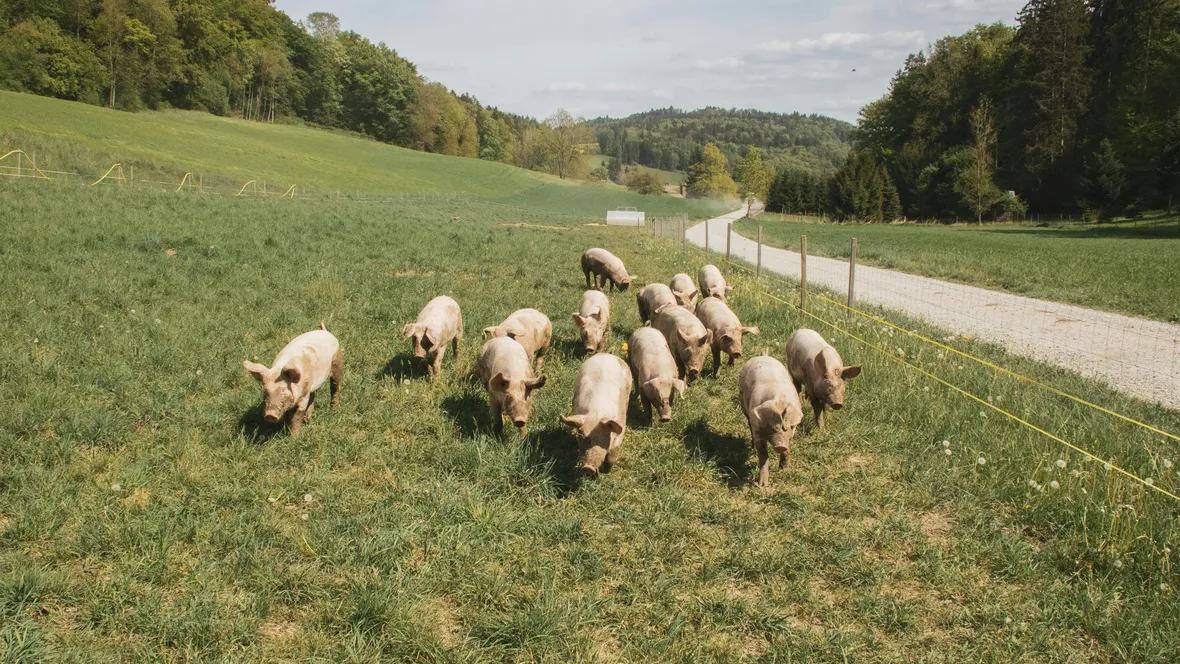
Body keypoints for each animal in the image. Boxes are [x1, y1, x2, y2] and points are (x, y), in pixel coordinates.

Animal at [739, 356, 805, 487]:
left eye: (790, 427)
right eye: (774, 427)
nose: (781, 446)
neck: (779, 398)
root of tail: (762, 355)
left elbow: (787, 450)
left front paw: (784, 471)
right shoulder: (757, 428)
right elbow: (763, 454)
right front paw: (762, 485)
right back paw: (751, 446)